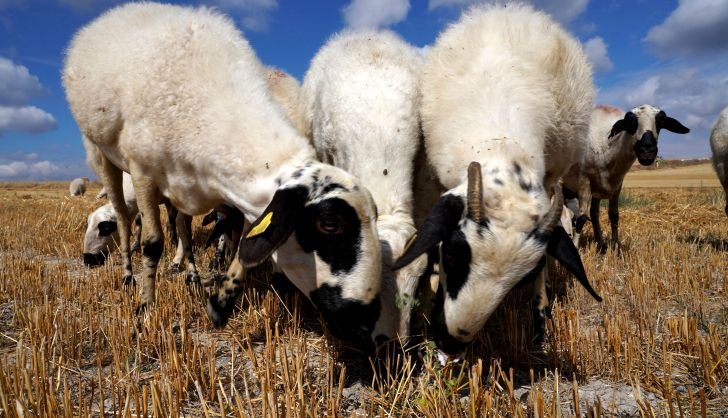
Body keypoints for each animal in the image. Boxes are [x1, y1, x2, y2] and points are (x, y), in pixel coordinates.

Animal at [63, 2, 382, 346]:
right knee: (124, 219)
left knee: (182, 227)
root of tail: (119, 11)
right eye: (329, 224)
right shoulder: (143, 172)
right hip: (102, 153)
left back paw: (189, 273)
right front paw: (145, 310)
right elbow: (152, 243)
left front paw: (220, 305)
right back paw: (127, 276)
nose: (368, 322)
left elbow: (240, 243)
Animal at [562, 104, 689, 251]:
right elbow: (581, 219)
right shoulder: (584, 183)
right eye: (631, 122)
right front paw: (575, 247)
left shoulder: (616, 185)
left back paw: (601, 245)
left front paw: (616, 248)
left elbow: (613, 216)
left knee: (593, 214)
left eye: (661, 121)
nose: (647, 152)